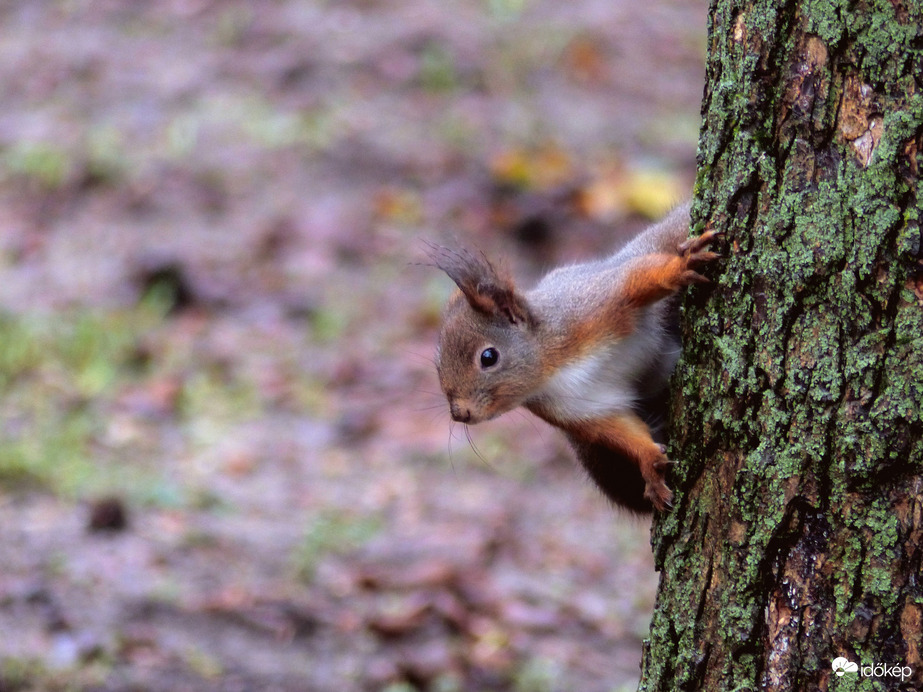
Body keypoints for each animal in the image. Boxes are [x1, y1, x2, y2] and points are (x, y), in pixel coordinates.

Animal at [432, 203, 720, 510]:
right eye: (438, 365)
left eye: (488, 357)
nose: (460, 413)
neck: (551, 368)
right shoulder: (581, 408)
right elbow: (620, 430)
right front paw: (650, 465)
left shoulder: (591, 306)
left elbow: (636, 281)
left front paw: (682, 267)